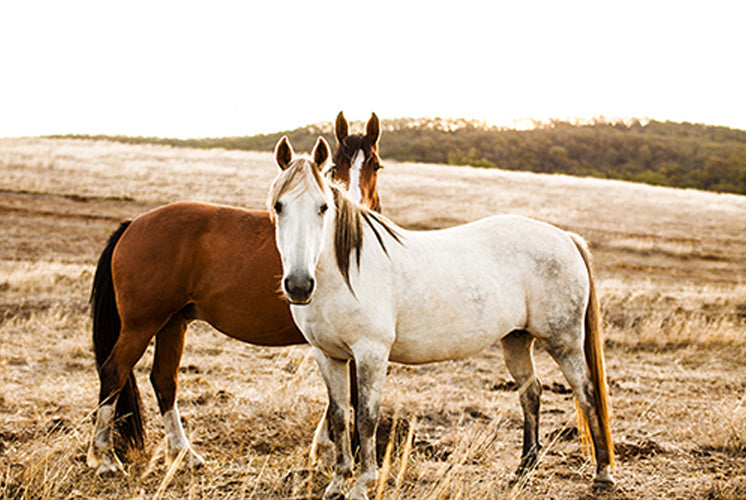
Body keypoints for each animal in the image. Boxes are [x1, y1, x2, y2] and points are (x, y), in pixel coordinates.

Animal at [87, 111, 384, 474]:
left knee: (164, 380)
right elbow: (352, 396)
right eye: (334, 168)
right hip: (141, 325)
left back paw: (184, 454)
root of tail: (134, 223)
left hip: (172, 323)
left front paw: (324, 449)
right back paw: (105, 458)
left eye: (375, 165)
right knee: (114, 373)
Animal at [266, 137, 612, 500]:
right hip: (516, 340)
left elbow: (366, 418)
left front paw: (362, 484)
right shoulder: (329, 355)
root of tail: (567, 238)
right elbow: (338, 416)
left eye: (323, 208)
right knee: (531, 392)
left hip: (565, 343)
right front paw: (337, 482)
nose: (299, 285)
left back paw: (602, 474)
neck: (344, 272)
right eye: (279, 206)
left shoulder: (371, 353)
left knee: (587, 394)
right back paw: (523, 469)